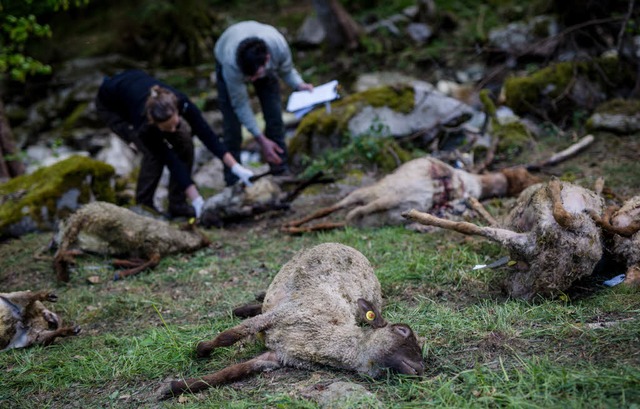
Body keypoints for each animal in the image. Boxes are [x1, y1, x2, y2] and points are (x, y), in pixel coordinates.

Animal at [54, 201, 210, 280]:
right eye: (198, 229)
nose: (209, 241)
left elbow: (145, 260)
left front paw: (120, 263)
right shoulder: (150, 242)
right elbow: (154, 261)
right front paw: (121, 272)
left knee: (59, 254)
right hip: (75, 225)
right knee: (59, 254)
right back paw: (66, 270)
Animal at [164, 241, 424, 396]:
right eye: (402, 330)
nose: (421, 368)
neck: (324, 336)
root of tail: (350, 246)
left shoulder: (277, 357)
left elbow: (229, 373)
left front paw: (178, 387)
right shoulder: (279, 315)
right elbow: (228, 337)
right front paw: (201, 350)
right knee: (258, 307)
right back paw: (242, 307)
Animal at [282, 156, 536, 233]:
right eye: (525, 174)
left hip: (371, 206)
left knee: (343, 217)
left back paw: (293, 227)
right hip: (374, 192)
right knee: (342, 212)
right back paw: (290, 225)